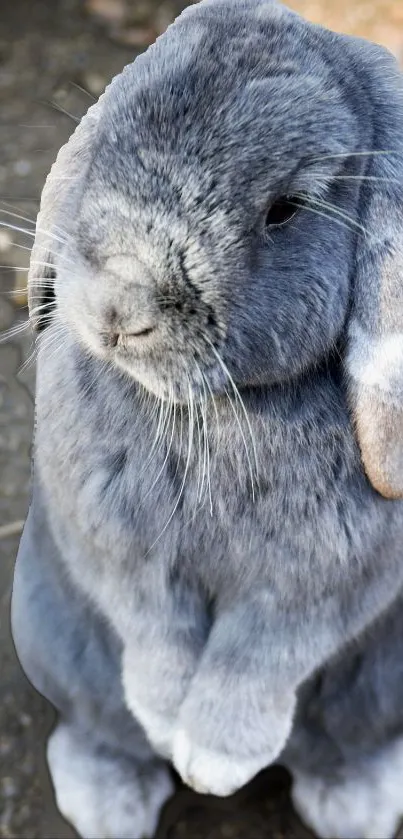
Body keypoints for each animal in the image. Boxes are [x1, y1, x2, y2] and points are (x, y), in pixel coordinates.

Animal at [10, 0, 403, 836]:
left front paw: (214, 761)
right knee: (95, 728)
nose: (118, 309)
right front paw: (167, 724)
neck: (219, 408)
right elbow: (152, 627)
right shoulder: (117, 548)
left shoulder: (321, 586)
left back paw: (353, 804)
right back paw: (110, 803)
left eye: (284, 209)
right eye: (107, 139)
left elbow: (260, 653)